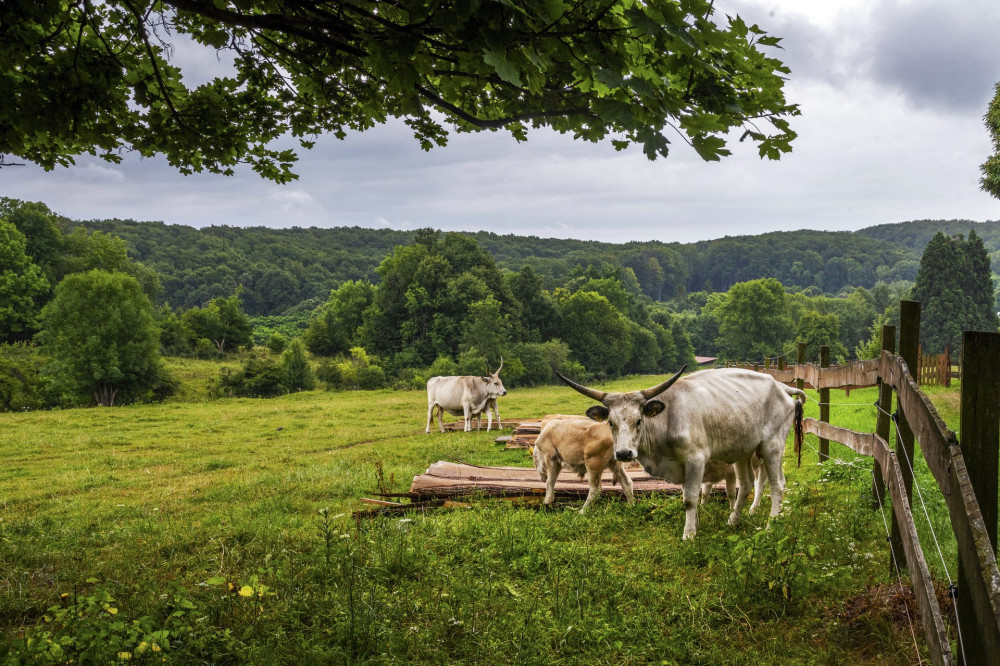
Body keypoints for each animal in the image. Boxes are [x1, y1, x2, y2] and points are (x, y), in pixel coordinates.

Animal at [556, 366, 804, 536]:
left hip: (772, 446)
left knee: (777, 485)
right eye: (611, 423)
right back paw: (732, 522)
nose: (624, 454)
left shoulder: (695, 459)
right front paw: (695, 526)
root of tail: (781, 386)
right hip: (743, 450)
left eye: (639, 420)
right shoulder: (682, 465)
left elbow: (690, 499)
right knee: (746, 485)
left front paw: (689, 535)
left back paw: (771, 526)